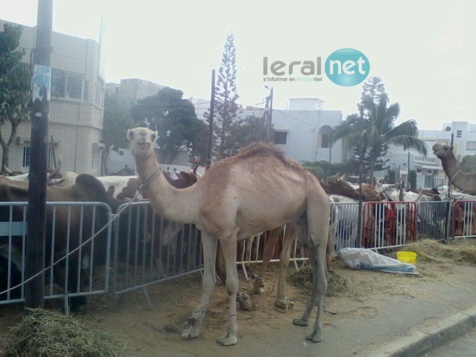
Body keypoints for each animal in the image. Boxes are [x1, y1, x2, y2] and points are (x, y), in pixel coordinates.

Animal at [128, 127, 332, 344]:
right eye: (131, 133)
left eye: (152, 136)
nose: (143, 142)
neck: (198, 198)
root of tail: (321, 188)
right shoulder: (207, 232)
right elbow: (208, 280)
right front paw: (193, 330)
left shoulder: (228, 234)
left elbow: (232, 283)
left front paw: (230, 335)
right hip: (303, 225)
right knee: (316, 269)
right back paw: (302, 319)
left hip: (318, 212)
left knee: (322, 276)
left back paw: (316, 332)